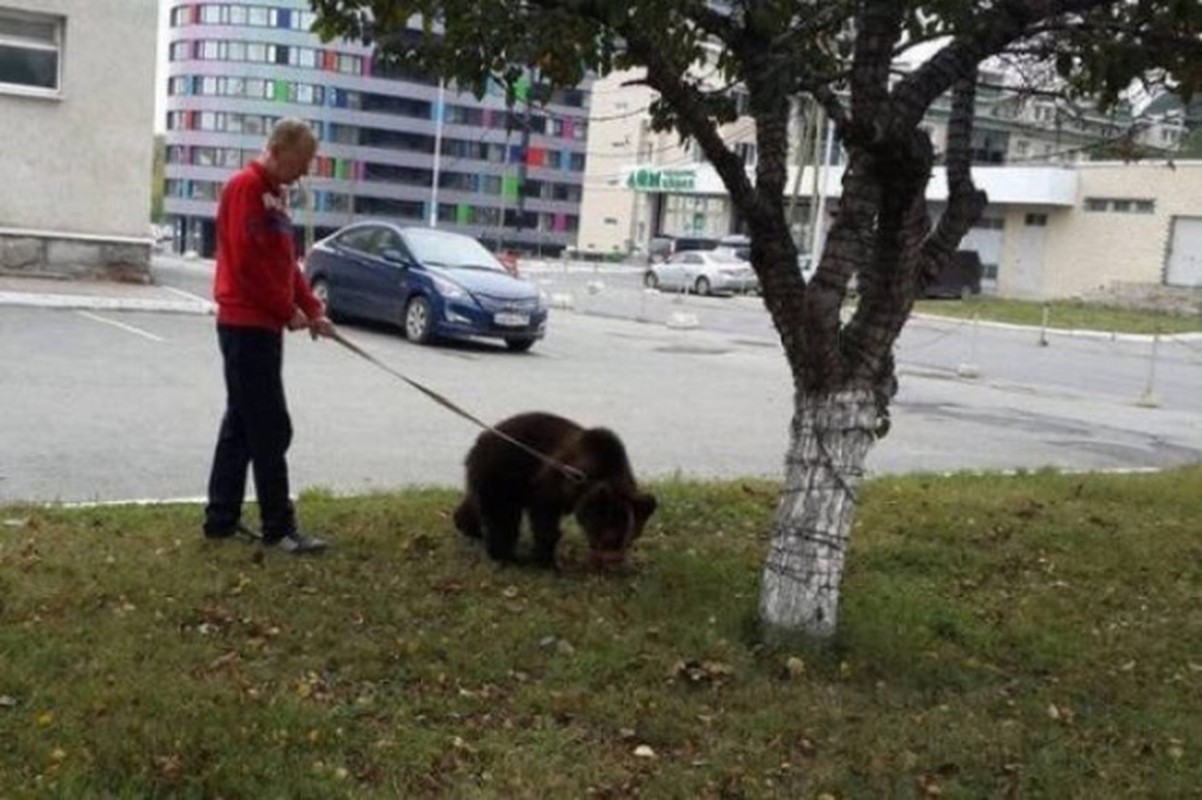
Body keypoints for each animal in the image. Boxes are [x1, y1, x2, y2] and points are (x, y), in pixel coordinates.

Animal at [451, 410, 658, 566]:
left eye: (631, 539)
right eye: (610, 538)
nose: (614, 562)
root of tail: (479, 440)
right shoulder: (551, 480)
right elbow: (544, 515)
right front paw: (546, 560)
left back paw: (469, 528)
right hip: (501, 471)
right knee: (502, 515)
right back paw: (506, 556)